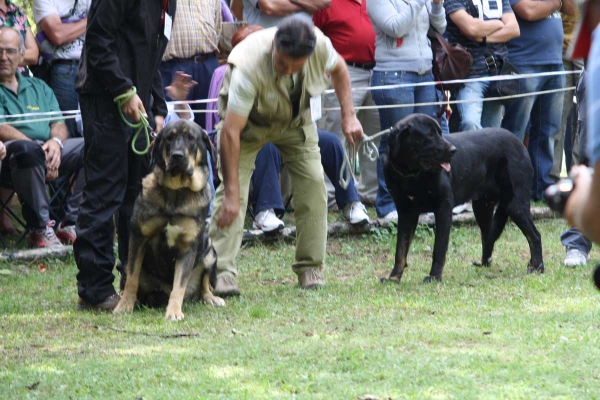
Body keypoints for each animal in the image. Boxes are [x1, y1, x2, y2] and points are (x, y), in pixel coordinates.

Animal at [384, 114, 544, 282]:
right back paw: (485, 263)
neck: (411, 175)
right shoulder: (405, 213)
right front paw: (393, 277)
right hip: (482, 207)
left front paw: (434, 276)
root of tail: (519, 142)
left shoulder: (443, 208)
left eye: (440, 133)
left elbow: (439, 248)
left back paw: (537, 267)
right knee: (488, 236)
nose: (453, 150)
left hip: (515, 205)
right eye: (430, 135)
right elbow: (400, 249)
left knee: (535, 236)